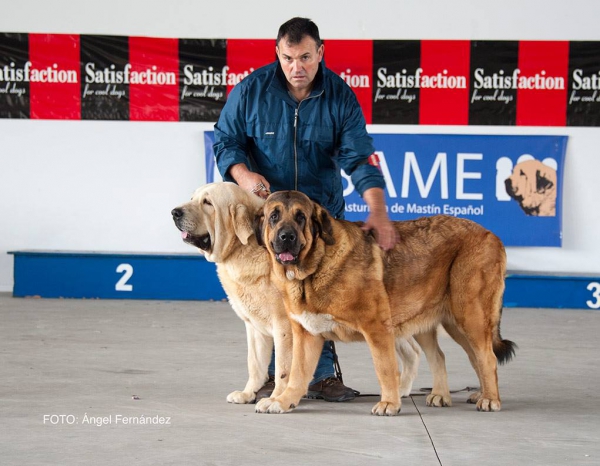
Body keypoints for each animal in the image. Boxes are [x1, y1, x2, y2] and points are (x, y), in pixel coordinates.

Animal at [254, 191, 516, 416]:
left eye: (301, 217)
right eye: (274, 216)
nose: (286, 236)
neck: (313, 268)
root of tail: (491, 234)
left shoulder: (376, 328)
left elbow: (385, 368)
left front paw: (390, 403)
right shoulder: (307, 335)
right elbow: (296, 374)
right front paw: (283, 401)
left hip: (470, 315)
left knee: (486, 357)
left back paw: (489, 398)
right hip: (441, 321)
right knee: (449, 357)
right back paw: (447, 394)